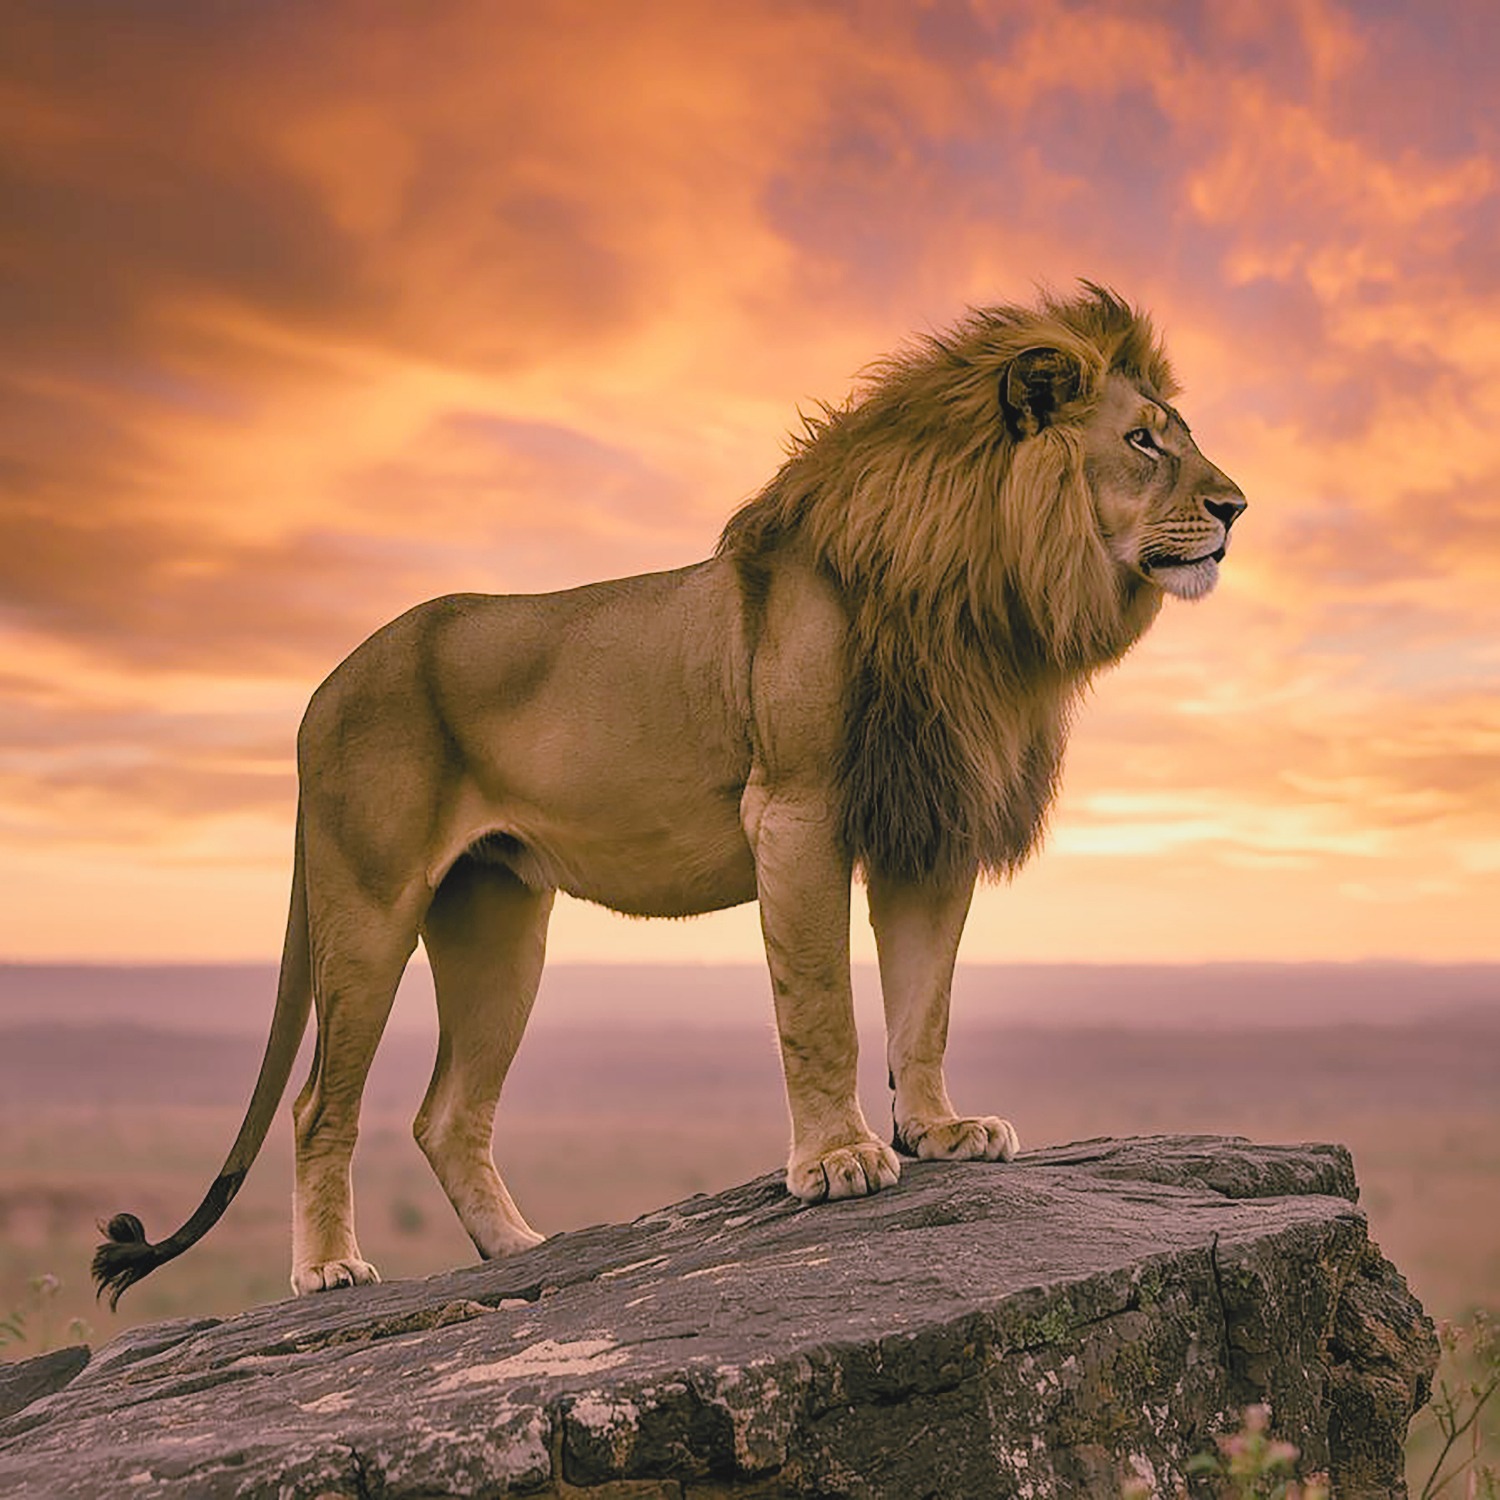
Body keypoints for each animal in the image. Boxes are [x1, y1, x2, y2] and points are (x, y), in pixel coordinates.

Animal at [94, 284, 1245, 1304]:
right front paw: (840, 1161)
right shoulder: (796, 809)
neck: (981, 589)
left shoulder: (926, 823)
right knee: (315, 1109)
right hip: (368, 905)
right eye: (1144, 442)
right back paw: (330, 1272)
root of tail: (321, 687)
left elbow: (928, 1004)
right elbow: (821, 1007)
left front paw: (940, 1133)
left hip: (497, 925)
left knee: (445, 1114)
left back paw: (520, 1254)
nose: (1237, 507)